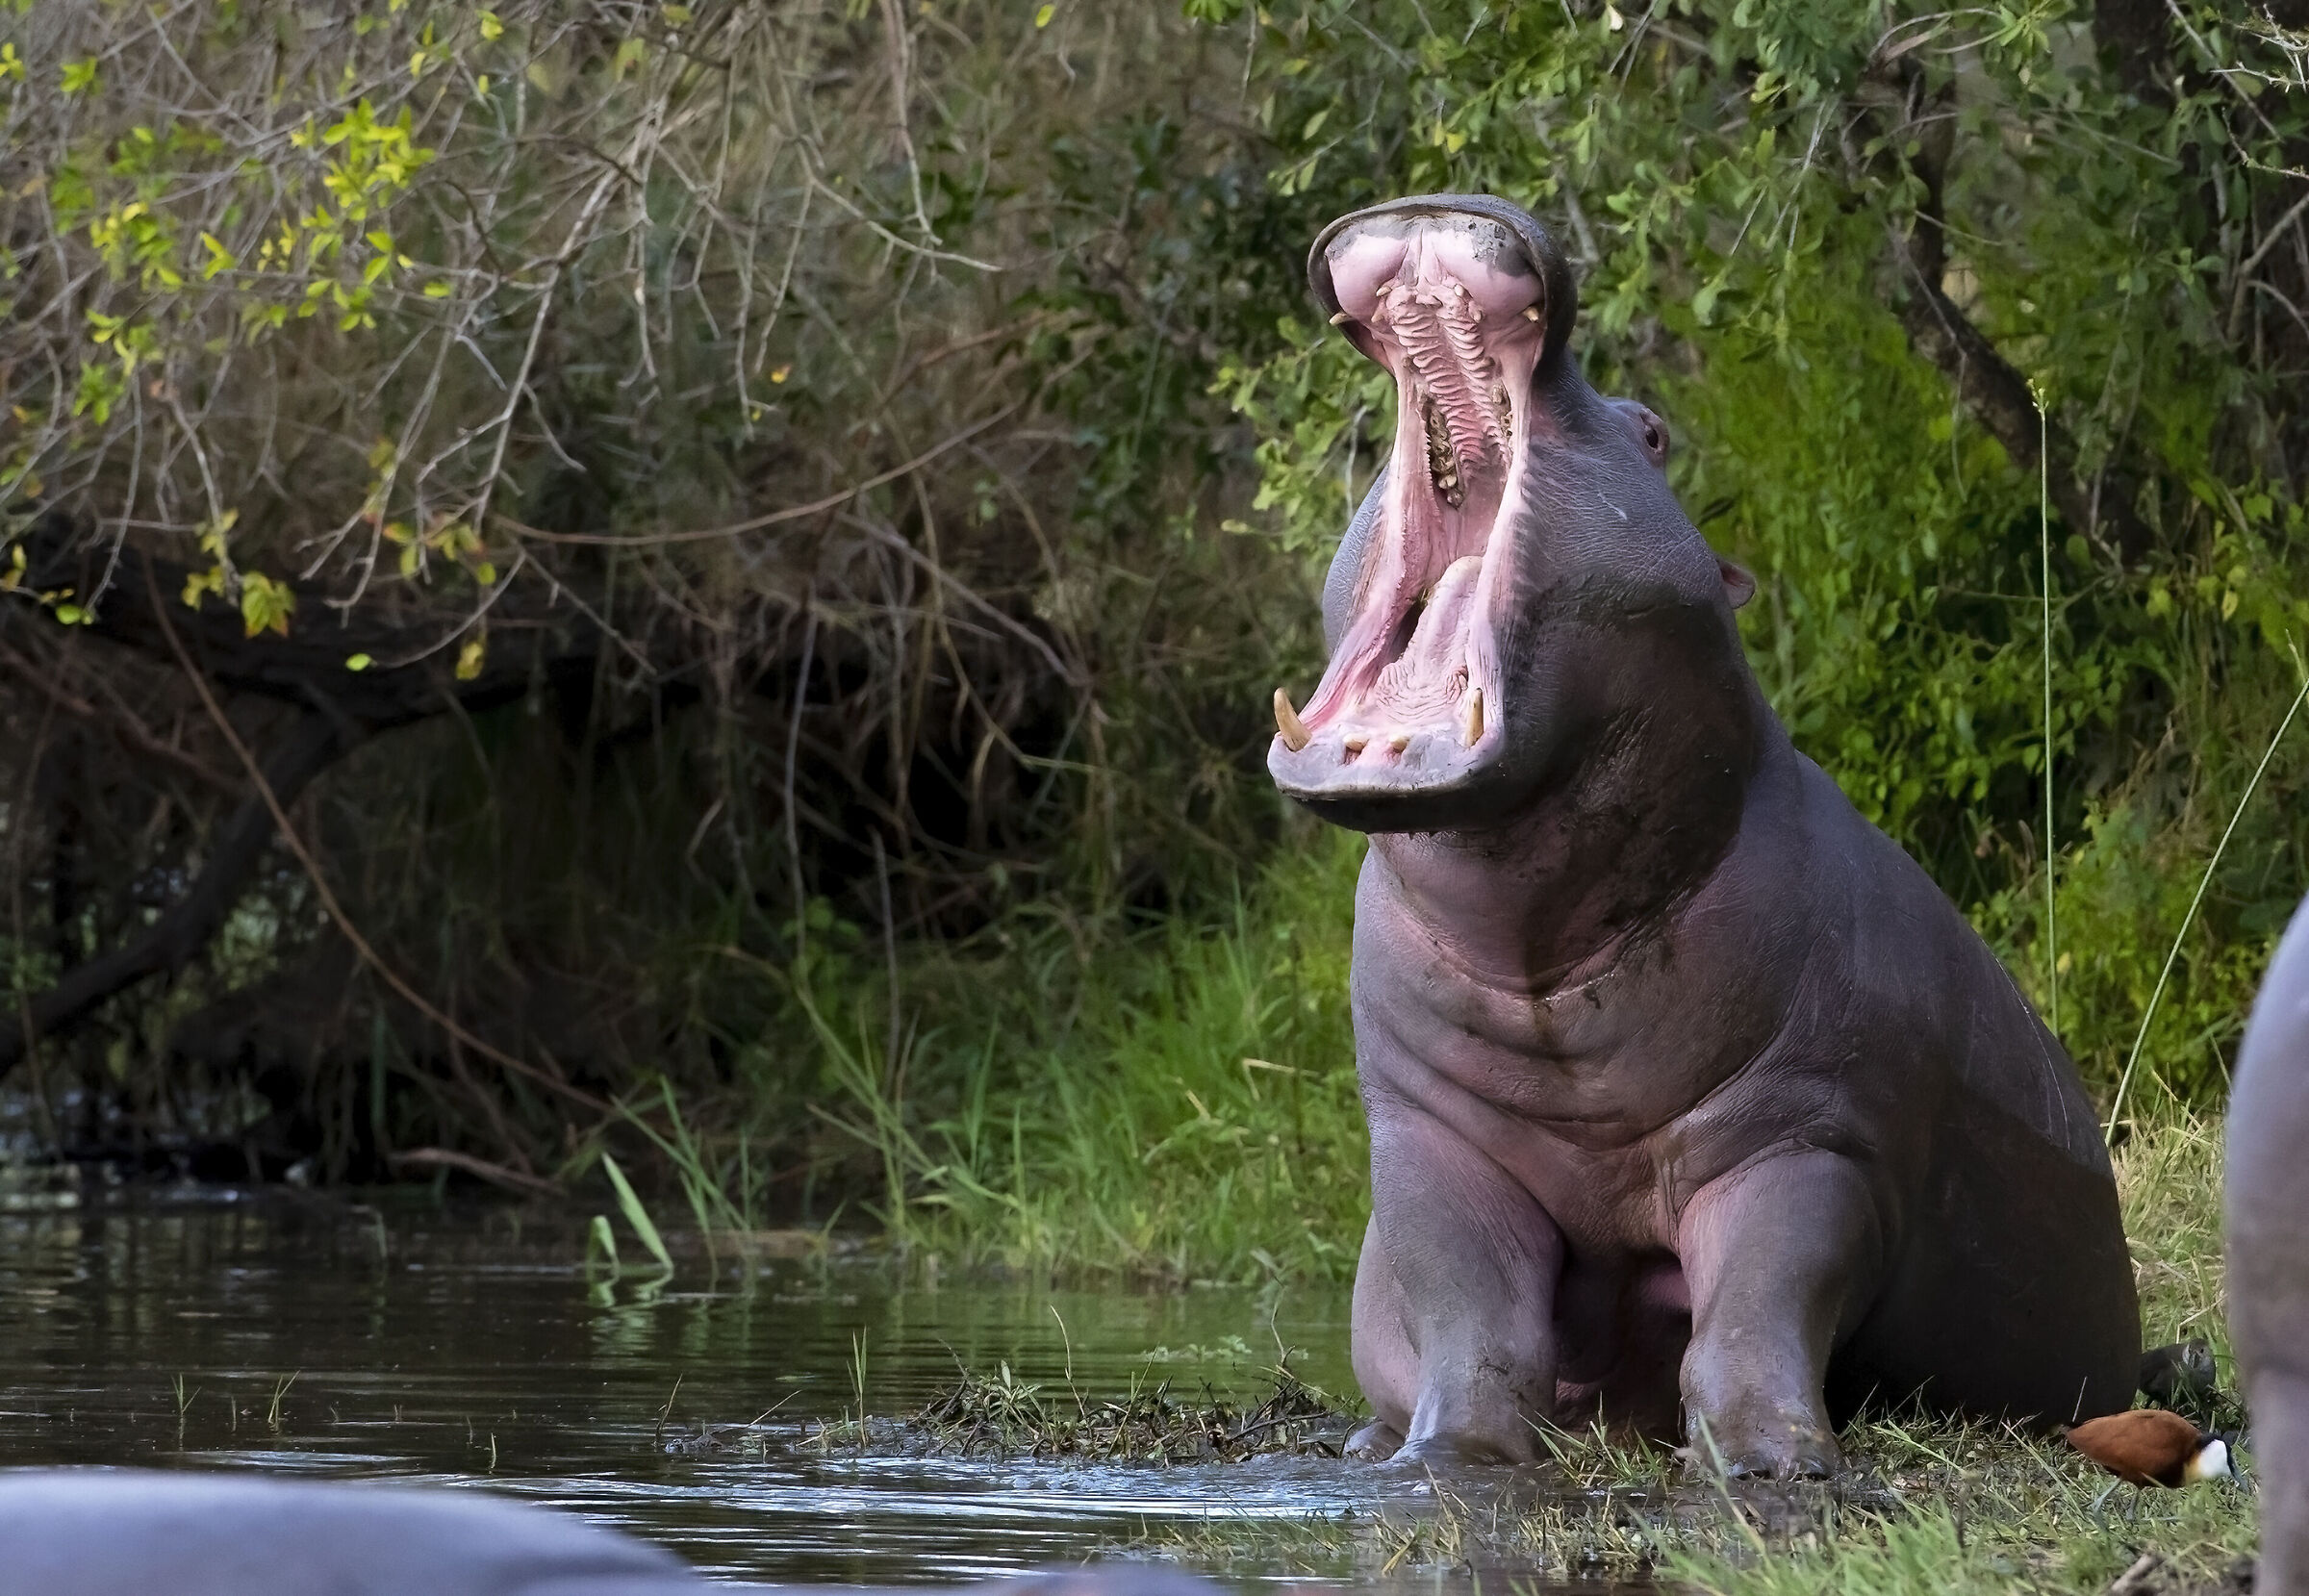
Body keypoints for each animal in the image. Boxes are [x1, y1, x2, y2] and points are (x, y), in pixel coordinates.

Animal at [1266, 193, 2140, 1474]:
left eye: (1653, 432)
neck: (1539, 954)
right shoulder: (1431, 1140)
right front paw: (1443, 1463)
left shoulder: (1807, 1138)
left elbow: (1753, 1314)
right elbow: (1474, 1323)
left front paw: (1773, 1465)